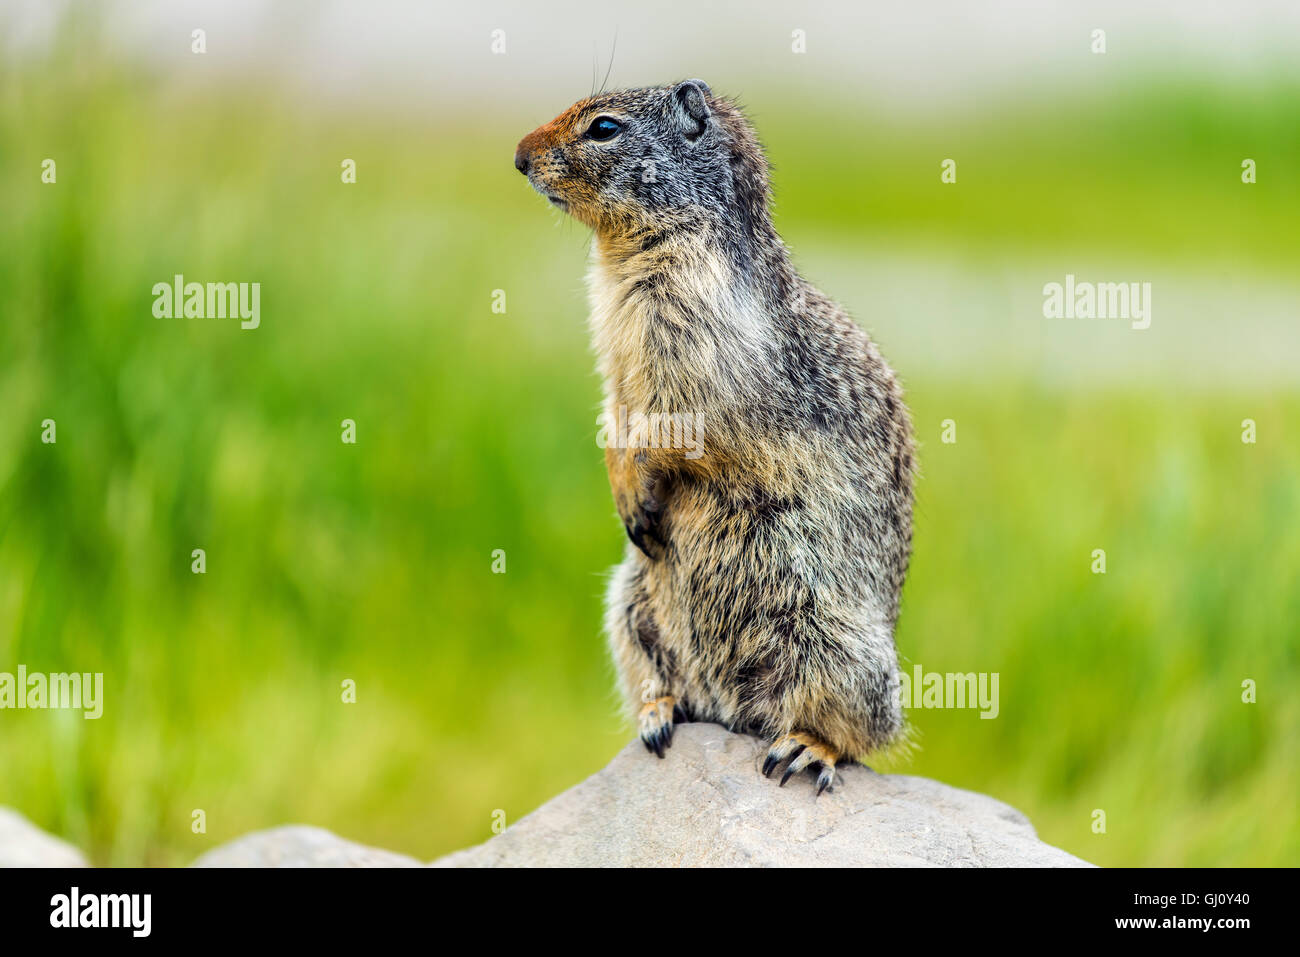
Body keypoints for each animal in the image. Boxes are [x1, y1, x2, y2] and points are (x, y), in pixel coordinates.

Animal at [514, 80, 915, 794]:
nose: (517, 156)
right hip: (629, 601)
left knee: (862, 733)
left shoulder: (697, 345)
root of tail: (733, 709)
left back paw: (806, 749)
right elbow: (614, 413)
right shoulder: (615, 361)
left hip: (836, 644)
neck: (626, 259)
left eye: (604, 127)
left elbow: (675, 426)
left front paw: (640, 486)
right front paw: (624, 496)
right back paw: (660, 711)